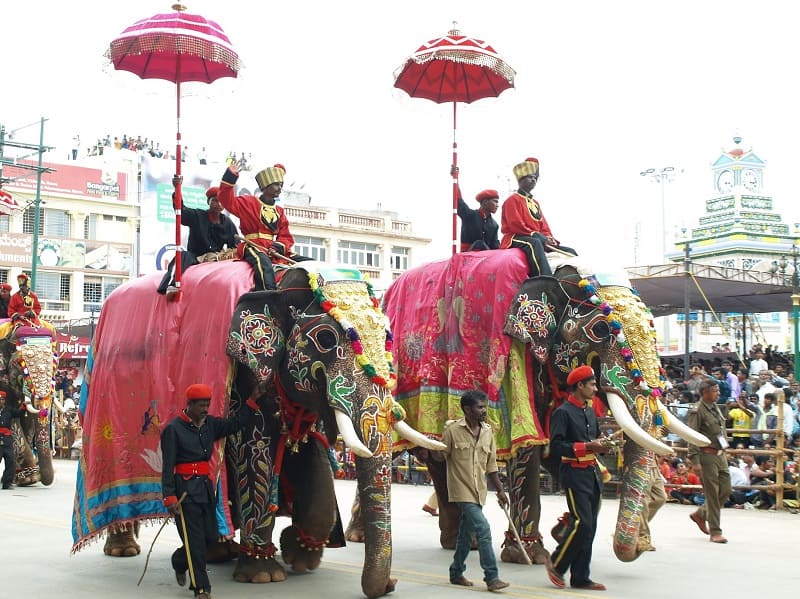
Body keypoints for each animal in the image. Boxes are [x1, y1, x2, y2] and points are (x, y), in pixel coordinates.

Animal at [0, 324, 59, 488]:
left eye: (55, 366)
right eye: (21, 365)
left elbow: (28, 423)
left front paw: (26, 479)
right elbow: (13, 425)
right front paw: (28, 478)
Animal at [71, 260, 440, 596]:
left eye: (387, 337)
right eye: (325, 338)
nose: (392, 584)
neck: (278, 281)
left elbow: (314, 461)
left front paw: (301, 557)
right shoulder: (244, 383)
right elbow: (251, 452)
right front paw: (263, 575)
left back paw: (217, 552)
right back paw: (125, 550)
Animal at [348, 250, 708, 568]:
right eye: (601, 330)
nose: (641, 549)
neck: (554, 272)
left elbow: (557, 449)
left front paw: (562, 530)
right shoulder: (515, 362)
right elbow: (528, 449)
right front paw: (530, 555)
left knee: (438, 460)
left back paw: (461, 542)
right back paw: (359, 537)